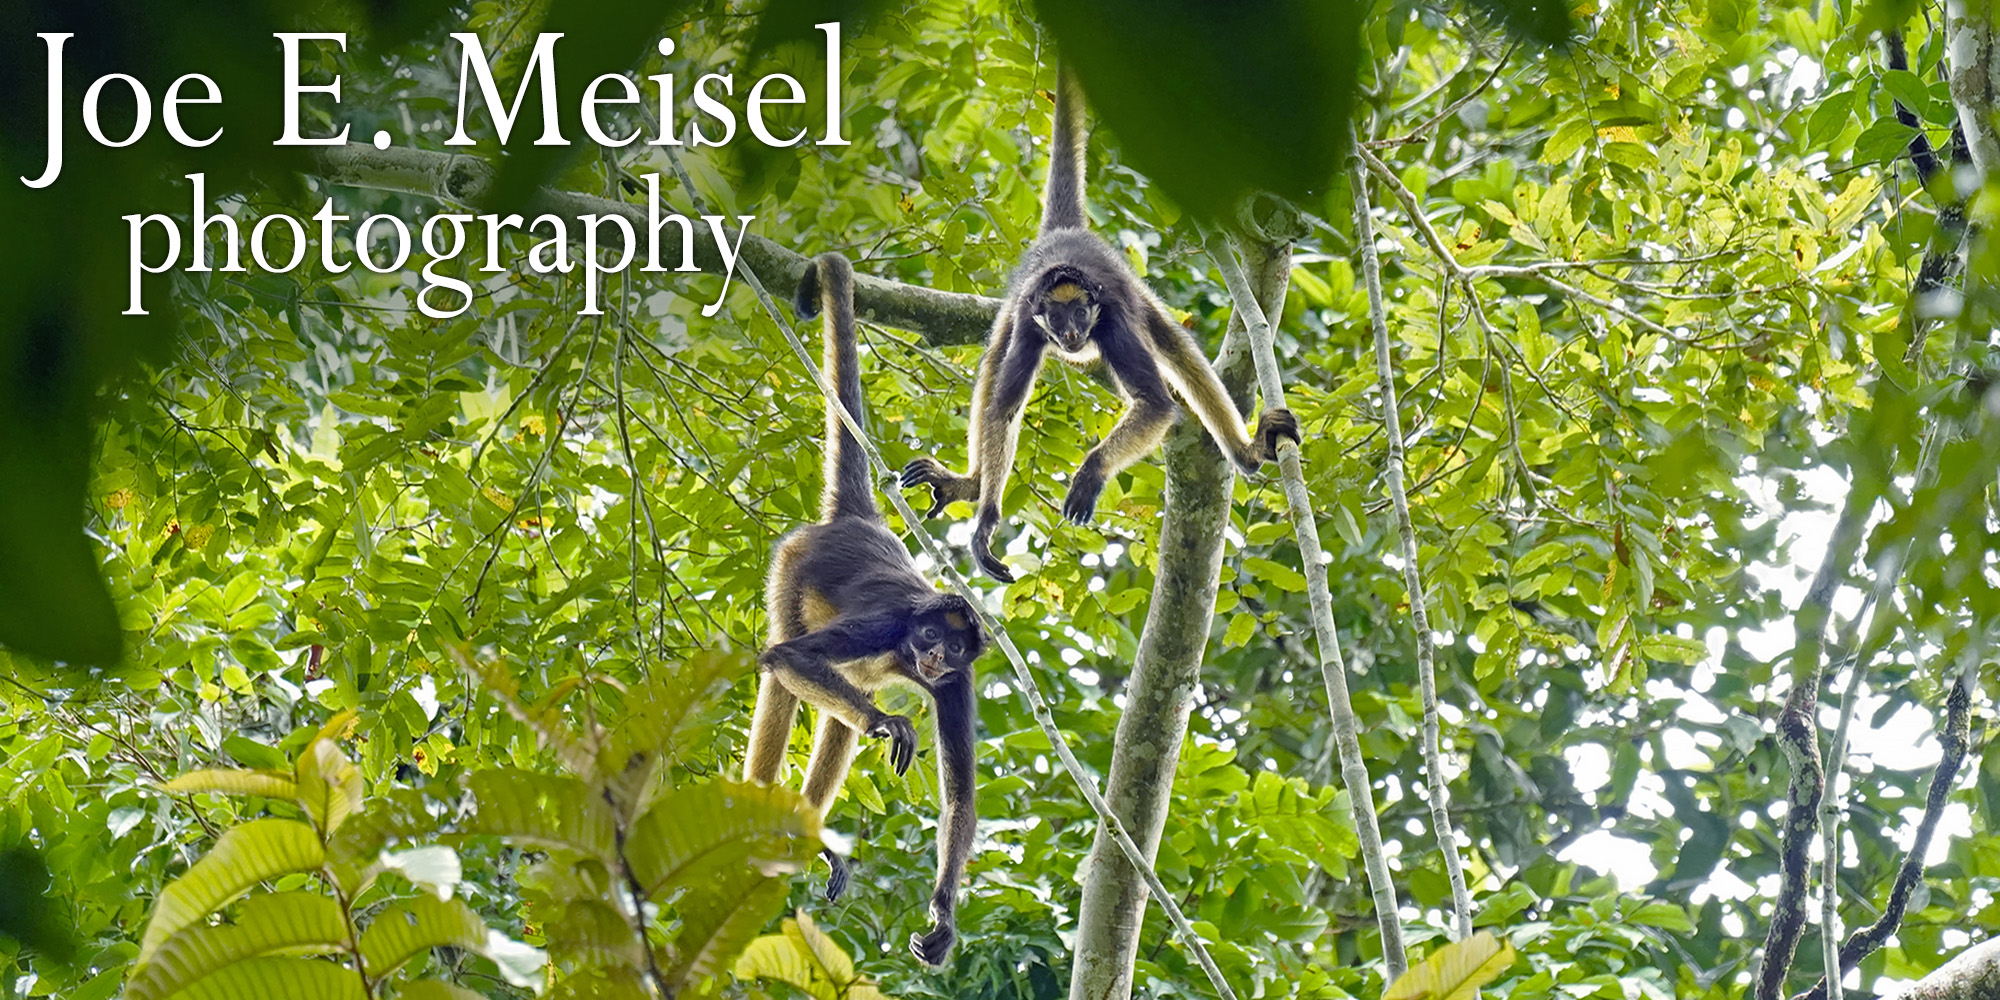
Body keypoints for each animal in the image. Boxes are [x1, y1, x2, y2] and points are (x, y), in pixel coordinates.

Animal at [743, 251, 987, 968]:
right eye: (928, 633)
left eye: (953, 648)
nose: (932, 655)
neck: (902, 650)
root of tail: (859, 521)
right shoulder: (887, 625)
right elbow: (789, 659)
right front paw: (891, 723)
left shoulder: (957, 683)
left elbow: (961, 797)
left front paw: (944, 917)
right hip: (791, 567)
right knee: (785, 668)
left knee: (841, 715)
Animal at [900, 63, 1301, 583]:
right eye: (1056, 315)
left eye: (1080, 312)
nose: (1071, 334)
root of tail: (1067, 235)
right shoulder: (1030, 322)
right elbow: (1003, 411)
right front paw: (985, 520)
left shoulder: (1111, 320)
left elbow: (1155, 404)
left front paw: (1091, 472)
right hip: (1016, 312)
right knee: (993, 363)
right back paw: (971, 484)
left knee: (1175, 347)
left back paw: (1246, 452)